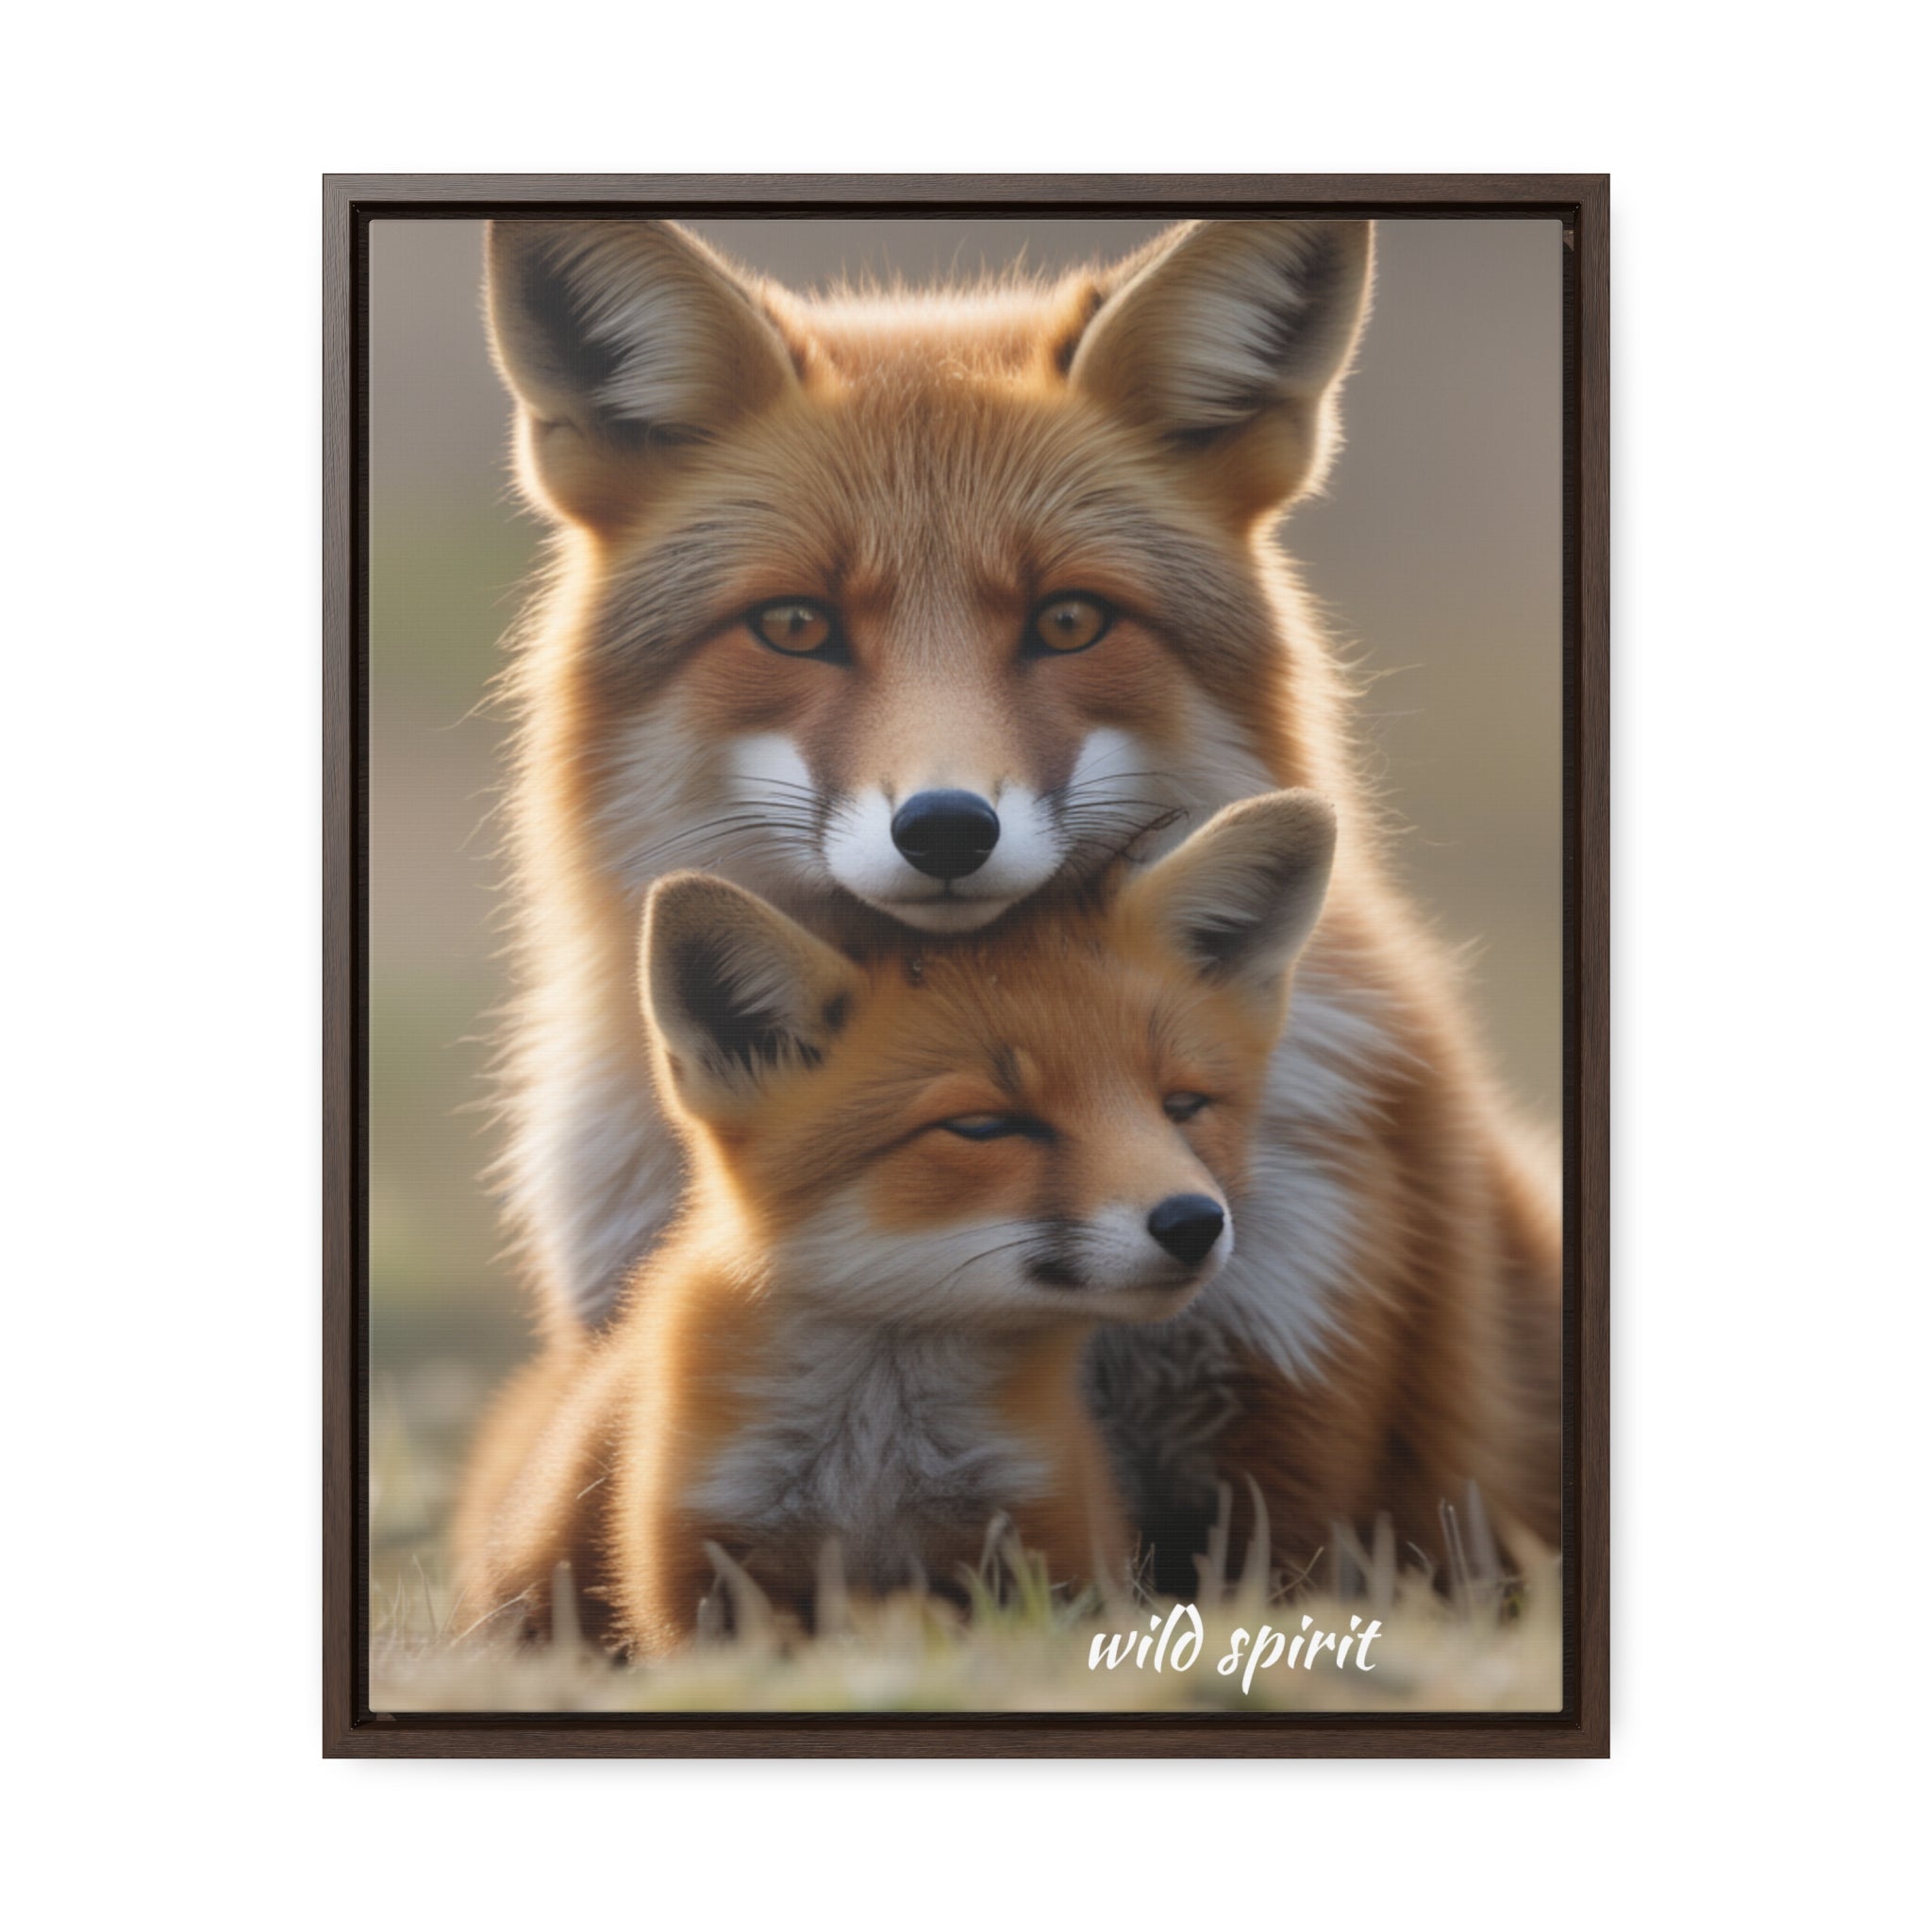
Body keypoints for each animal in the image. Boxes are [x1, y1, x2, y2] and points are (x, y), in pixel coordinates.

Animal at [453, 793, 1338, 1652]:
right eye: (985, 1126)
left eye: (1183, 1106)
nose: (1193, 1222)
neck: (875, 1462)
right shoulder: (699, 1570)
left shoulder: (1049, 1544)